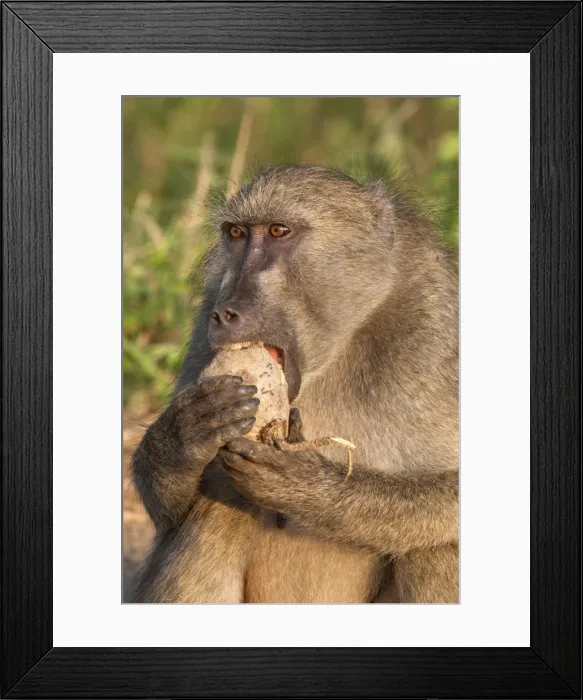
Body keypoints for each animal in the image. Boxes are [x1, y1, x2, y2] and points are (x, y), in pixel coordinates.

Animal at [130, 165, 459, 604]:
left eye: (278, 231)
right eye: (236, 234)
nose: (225, 312)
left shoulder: (432, 334)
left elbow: (451, 496)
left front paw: (306, 484)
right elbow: (171, 512)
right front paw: (184, 434)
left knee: (435, 546)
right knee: (215, 509)